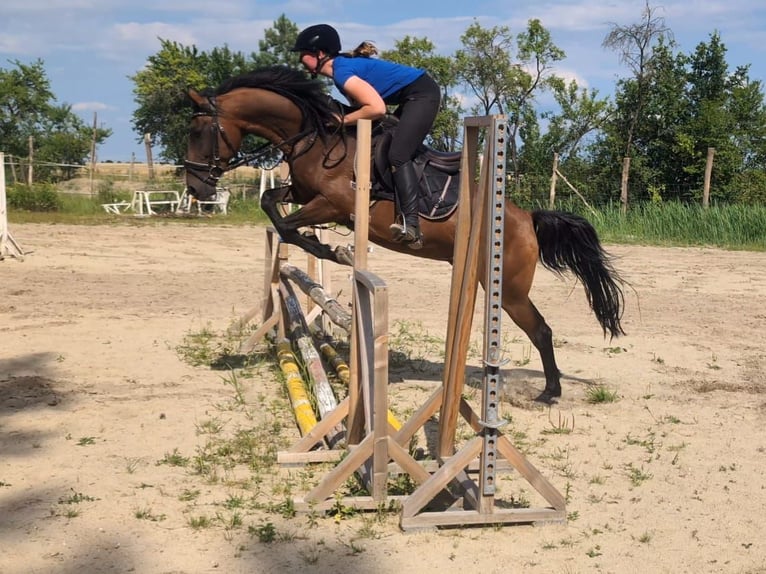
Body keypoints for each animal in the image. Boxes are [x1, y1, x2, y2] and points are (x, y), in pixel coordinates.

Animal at [186, 65, 632, 402]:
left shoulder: (334, 204)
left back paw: (550, 392)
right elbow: (271, 205)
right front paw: (324, 246)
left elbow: (287, 225)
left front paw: (334, 251)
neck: (315, 135)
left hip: (509, 289)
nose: (196, 189)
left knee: (541, 329)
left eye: (199, 132)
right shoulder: (303, 194)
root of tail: (526, 219)